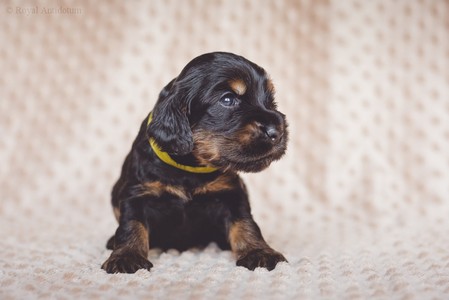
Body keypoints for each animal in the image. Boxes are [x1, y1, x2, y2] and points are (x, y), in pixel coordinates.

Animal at [101, 52, 288, 274]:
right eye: (228, 99)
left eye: (271, 100)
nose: (277, 132)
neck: (190, 169)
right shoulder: (136, 193)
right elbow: (131, 225)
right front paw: (126, 256)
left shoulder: (232, 193)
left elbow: (246, 223)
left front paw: (259, 252)